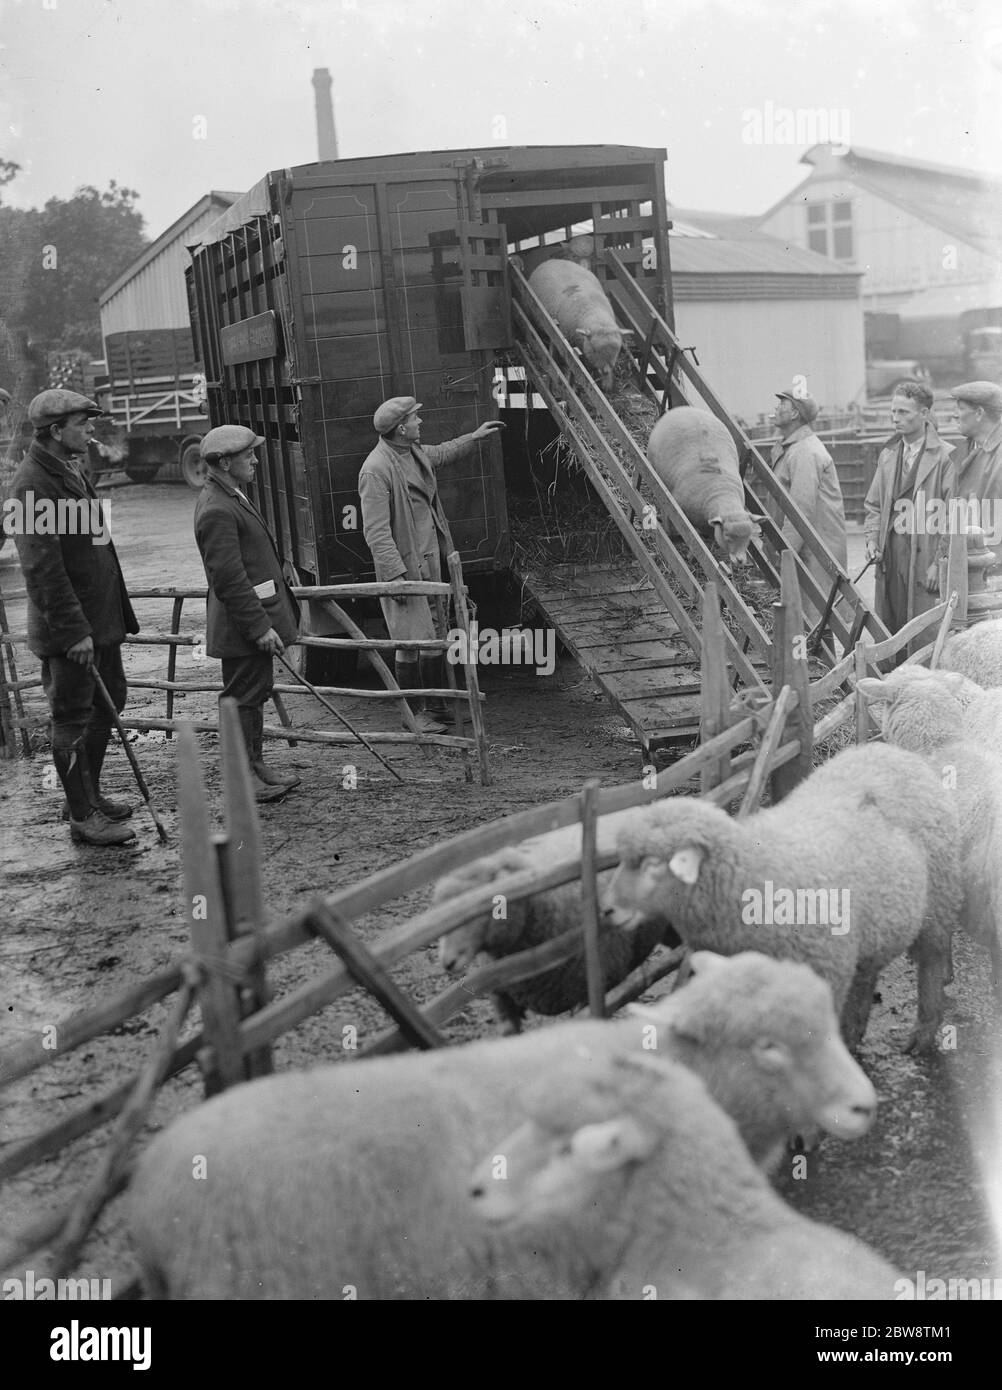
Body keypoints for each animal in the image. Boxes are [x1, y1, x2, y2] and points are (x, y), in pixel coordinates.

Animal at [522, 259, 625, 391]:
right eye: (594, 350)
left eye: (617, 350)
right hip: (532, 312)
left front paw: (607, 384)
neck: (594, 312)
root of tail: (550, 260)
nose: (606, 370)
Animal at [597, 739, 956, 1050]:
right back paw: (855, 1034)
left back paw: (923, 1033)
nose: (607, 910)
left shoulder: (824, 972)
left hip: (937, 902)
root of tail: (887, 749)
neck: (754, 872)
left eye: (653, 864)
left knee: (932, 960)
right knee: (866, 976)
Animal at [644, 405, 761, 564]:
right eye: (728, 536)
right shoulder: (674, 508)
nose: (740, 560)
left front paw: (694, 556)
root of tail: (684, 408)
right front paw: (673, 539)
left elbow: (702, 545)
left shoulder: (711, 527)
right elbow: (681, 531)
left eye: (749, 537)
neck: (721, 492)